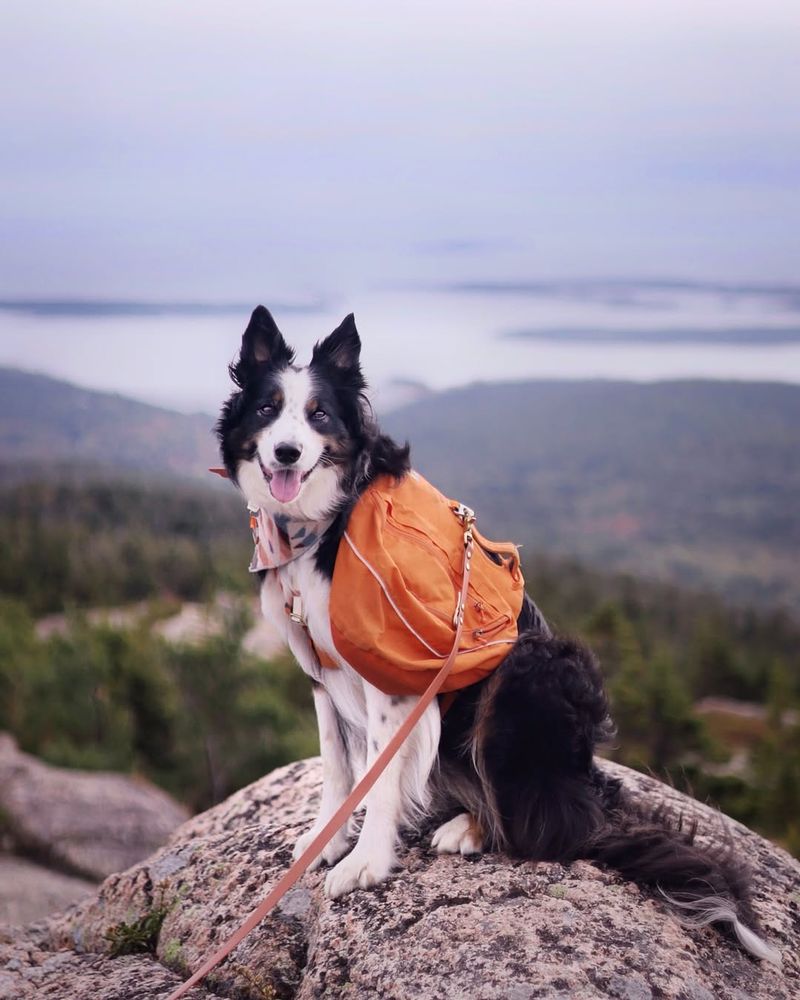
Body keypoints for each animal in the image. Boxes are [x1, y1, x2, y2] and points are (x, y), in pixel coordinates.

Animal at [216, 304, 780, 960]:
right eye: (267, 409)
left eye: (319, 415)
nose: (285, 453)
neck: (327, 521)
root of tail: (584, 780)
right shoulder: (321, 668)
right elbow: (338, 766)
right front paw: (325, 839)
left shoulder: (394, 672)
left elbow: (379, 778)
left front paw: (366, 864)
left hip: (529, 671)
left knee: (553, 829)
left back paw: (473, 828)